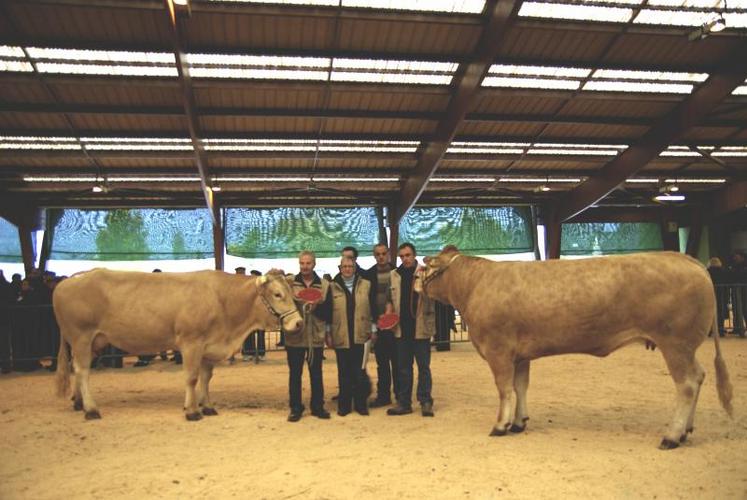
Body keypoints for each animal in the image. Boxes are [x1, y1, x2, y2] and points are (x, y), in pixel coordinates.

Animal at [52, 268, 304, 420]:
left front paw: (207, 406)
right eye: (278, 294)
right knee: (82, 370)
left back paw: (78, 402)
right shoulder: (191, 342)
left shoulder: (208, 347)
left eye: (292, 293)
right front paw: (192, 411)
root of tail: (72, 278)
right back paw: (91, 409)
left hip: (93, 341)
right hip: (81, 337)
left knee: (76, 369)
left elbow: (206, 378)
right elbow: (191, 377)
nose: (299, 323)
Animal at [418, 250, 732, 450]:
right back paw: (686, 431)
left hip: (675, 344)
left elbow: (504, 389)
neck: (474, 285)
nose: (415, 284)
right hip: (686, 347)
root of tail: (688, 260)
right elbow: (521, 387)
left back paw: (671, 436)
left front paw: (501, 425)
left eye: (428, 265)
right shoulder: (520, 355)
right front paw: (519, 422)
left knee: (687, 384)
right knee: (699, 376)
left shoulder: (498, 351)